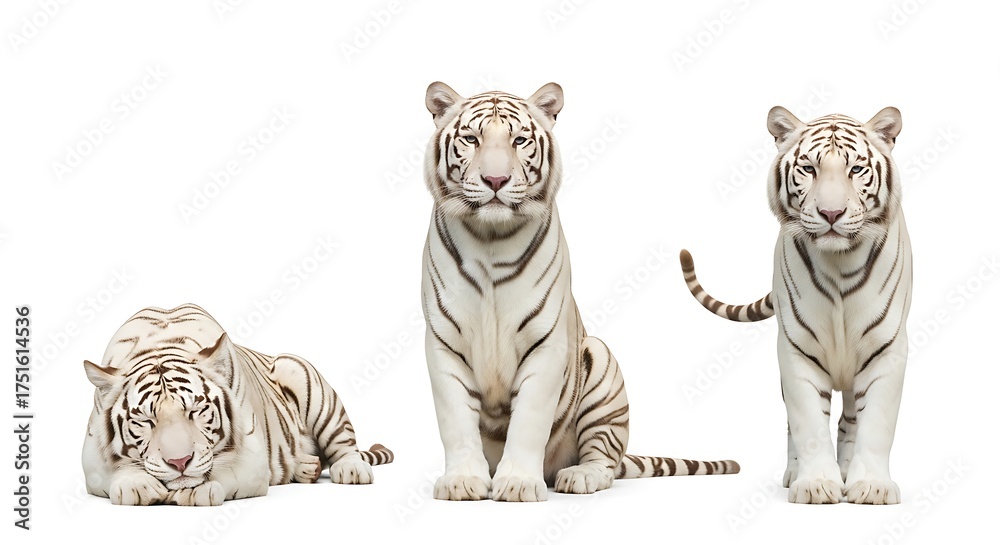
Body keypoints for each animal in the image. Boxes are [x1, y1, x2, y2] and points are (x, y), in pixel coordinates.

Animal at [82, 304, 393, 506]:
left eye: (195, 411)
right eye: (146, 421)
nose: (179, 462)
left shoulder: (252, 458)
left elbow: (221, 468)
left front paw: (196, 490)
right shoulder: (91, 460)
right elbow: (117, 470)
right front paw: (137, 484)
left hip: (304, 379)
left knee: (344, 444)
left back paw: (350, 470)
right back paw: (307, 467)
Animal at [420, 81, 739, 502]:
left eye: (519, 140)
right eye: (472, 139)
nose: (495, 181)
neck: (491, 237)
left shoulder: (546, 344)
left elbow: (529, 422)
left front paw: (518, 484)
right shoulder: (444, 343)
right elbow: (456, 421)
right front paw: (462, 481)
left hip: (601, 364)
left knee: (604, 459)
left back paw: (578, 476)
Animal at [679, 106, 911, 504]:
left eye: (855, 169)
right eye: (808, 169)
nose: (831, 213)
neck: (840, 262)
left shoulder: (887, 349)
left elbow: (876, 423)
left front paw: (871, 486)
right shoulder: (796, 350)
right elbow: (807, 423)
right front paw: (815, 484)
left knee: (851, 417)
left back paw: (847, 470)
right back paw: (795, 473)